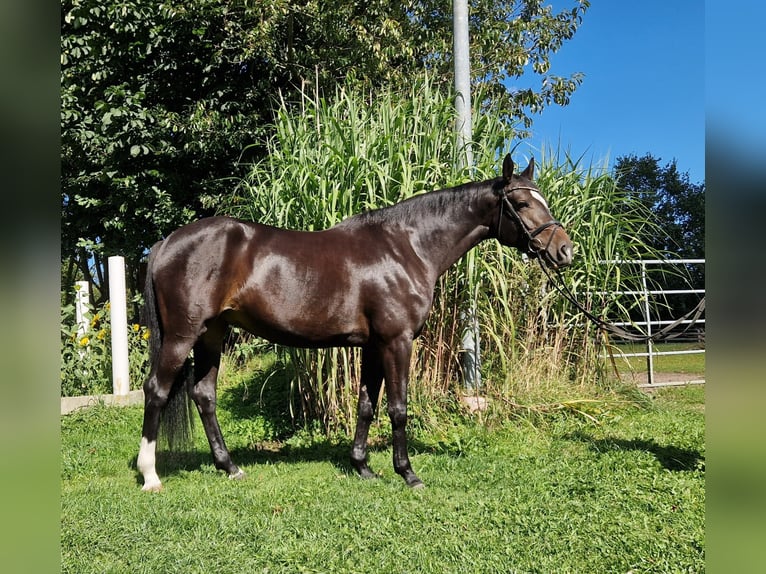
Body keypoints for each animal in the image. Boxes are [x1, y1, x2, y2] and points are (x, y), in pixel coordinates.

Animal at [137, 154, 573, 491]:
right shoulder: (397, 341)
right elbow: (398, 407)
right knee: (156, 390)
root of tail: (167, 242)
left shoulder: (373, 346)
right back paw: (150, 475)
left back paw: (230, 467)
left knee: (204, 395)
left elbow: (366, 405)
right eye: (522, 202)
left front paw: (363, 466)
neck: (406, 247)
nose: (565, 251)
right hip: (183, 335)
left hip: (213, 334)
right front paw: (408, 474)